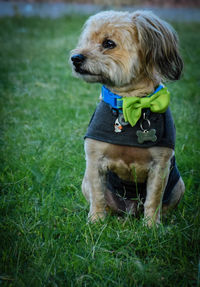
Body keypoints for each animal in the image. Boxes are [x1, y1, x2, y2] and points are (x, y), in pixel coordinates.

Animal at [70, 10, 184, 227]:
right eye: (87, 41)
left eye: (108, 43)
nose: (75, 58)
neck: (129, 103)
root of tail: (130, 210)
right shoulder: (94, 161)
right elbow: (98, 196)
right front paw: (96, 222)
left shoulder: (161, 165)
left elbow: (153, 199)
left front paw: (151, 226)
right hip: (85, 182)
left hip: (178, 185)